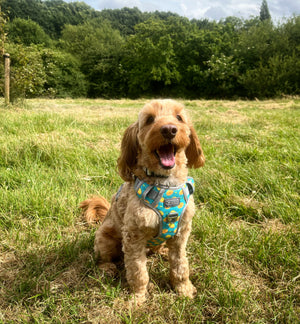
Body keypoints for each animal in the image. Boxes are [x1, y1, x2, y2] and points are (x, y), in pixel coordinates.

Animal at [81, 98, 205, 304]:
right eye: (149, 119)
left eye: (179, 117)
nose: (169, 129)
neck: (165, 184)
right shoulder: (133, 237)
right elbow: (138, 272)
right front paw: (137, 298)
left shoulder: (181, 233)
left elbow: (180, 266)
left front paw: (184, 289)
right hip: (105, 238)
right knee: (102, 258)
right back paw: (107, 268)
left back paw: (162, 252)